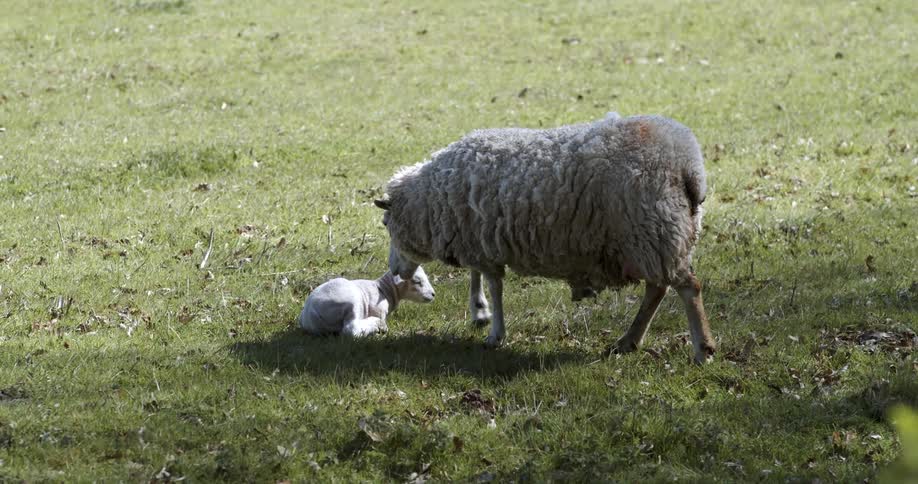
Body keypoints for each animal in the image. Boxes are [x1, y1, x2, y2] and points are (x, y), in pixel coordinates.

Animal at [297, 267, 435, 337]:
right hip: (351, 301)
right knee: (351, 329)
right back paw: (375, 324)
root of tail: (311, 313)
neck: (384, 289)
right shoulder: (377, 309)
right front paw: (382, 328)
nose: (433, 294)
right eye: (417, 281)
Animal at [373, 113, 716, 363]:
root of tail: (689, 166)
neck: (435, 197)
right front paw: (480, 312)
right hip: (657, 238)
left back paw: (702, 349)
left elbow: (494, 285)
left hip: (654, 231)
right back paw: (628, 341)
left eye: (387, 224)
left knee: (688, 287)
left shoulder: (482, 239)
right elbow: (479, 276)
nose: (394, 271)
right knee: (657, 288)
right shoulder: (479, 237)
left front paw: (494, 331)